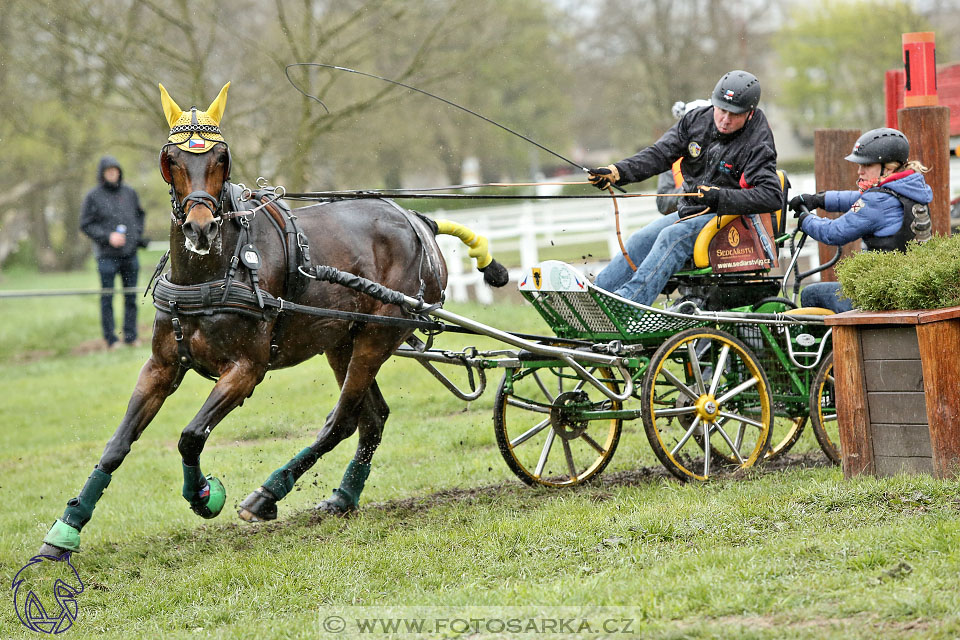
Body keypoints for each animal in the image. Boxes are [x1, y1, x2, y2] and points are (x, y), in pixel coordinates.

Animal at [39, 84, 510, 556]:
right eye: (170, 159)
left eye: (221, 157)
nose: (200, 228)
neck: (213, 273)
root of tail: (416, 218)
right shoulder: (161, 366)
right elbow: (118, 444)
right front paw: (67, 528)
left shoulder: (247, 370)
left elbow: (191, 435)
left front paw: (204, 495)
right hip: (342, 341)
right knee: (370, 419)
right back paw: (342, 497)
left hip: (377, 336)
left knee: (343, 420)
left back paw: (268, 493)